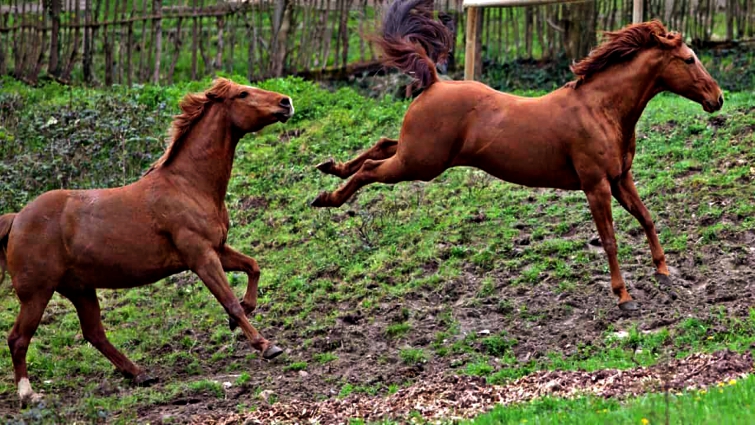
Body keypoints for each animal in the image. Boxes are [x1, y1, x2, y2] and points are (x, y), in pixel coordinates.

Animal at [0, 78, 293, 405]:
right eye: (242, 94)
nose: (286, 102)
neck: (188, 185)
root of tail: (16, 218)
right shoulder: (201, 256)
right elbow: (230, 301)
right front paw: (266, 345)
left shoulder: (217, 249)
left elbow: (253, 267)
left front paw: (246, 312)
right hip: (37, 293)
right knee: (18, 338)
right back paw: (29, 393)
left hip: (79, 288)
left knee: (94, 333)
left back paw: (140, 374)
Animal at [311, 0, 724, 311]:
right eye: (689, 60)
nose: (717, 98)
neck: (601, 109)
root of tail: (435, 82)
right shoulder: (596, 186)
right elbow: (609, 239)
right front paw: (624, 297)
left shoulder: (621, 179)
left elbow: (647, 219)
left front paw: (664, 274)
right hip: (419, 164)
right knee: (370, 168)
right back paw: (326, 198)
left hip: (420, 155)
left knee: (380, 145)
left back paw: (329, 167)